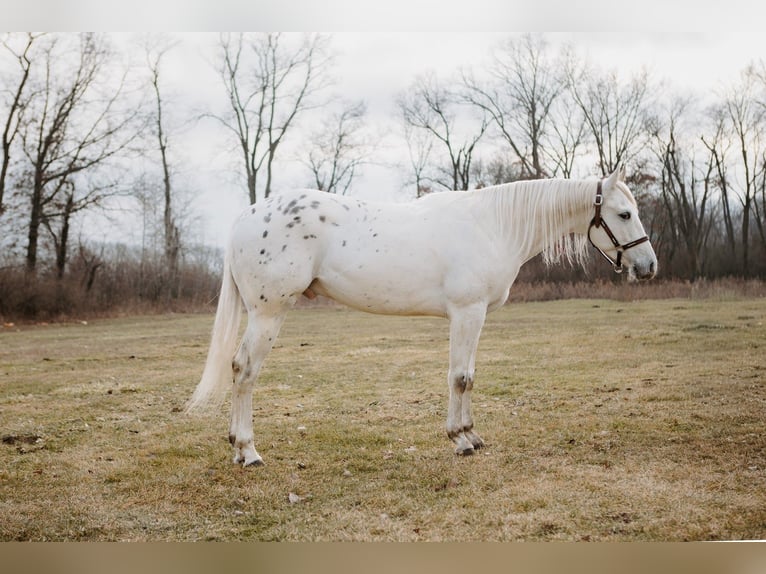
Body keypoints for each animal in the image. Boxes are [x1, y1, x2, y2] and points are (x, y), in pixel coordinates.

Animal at [187, 166, 657, 467]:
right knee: (244, 371)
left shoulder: (475, 317)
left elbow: (470, 375)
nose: (649, 266)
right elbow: (459, 378)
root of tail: (245, 217)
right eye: (624, 214)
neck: (493, 225)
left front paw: (472, 435)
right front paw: (459, 441)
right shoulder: (467, 313)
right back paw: (248, 451)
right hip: (267, 314)